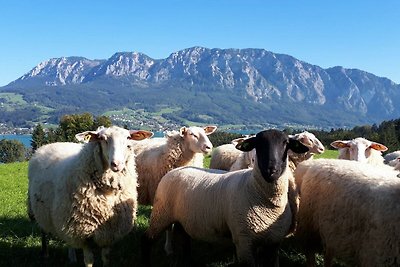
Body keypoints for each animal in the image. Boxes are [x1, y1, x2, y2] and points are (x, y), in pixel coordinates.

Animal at [27, 126, 153, 267]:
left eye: (128, 138)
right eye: (102, 138)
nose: (117, 164)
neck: (107, 194)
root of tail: (48, 145)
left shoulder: (109, 231)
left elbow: (106, 258)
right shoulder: (83, 233)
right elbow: (89, 261)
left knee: (69, 240)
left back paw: (72, 257)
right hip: (40, 210)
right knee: (43, 232)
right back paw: (45, 254)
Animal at [141, 129, 310, 266]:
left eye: (286, 143)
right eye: (257, 144)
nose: (271, 170)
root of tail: (175, 170)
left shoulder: (274, 243)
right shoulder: (244, 241)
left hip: (183, 219)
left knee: (183, 239)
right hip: (161, 214)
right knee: (147, 240)